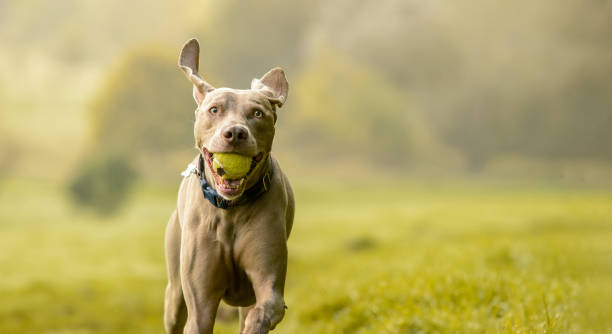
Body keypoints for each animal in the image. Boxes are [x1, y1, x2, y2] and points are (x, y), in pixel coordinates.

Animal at [164, 39, 296, 334]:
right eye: (215, 110)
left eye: (257, 113)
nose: (235, 133)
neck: (230, 210)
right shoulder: (200, 304)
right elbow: (199, 317)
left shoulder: (269, 283)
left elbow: (263, 309)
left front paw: (254, 325)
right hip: (175, 289)